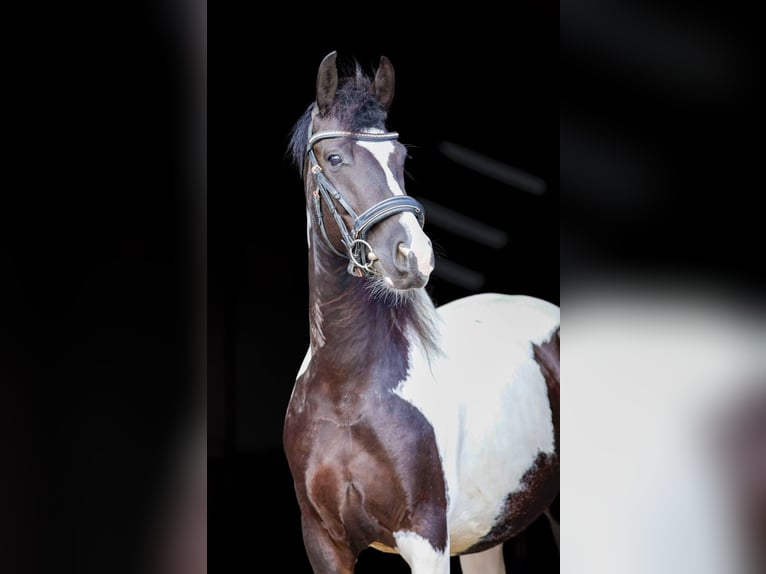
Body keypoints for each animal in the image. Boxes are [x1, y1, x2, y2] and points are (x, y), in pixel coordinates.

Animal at [282, 50, 560, 574]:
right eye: (334, 158)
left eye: (401, 159)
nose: (413, 255)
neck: (348, 392)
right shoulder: (322, 542)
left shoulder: (425, 537)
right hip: (484, 537)